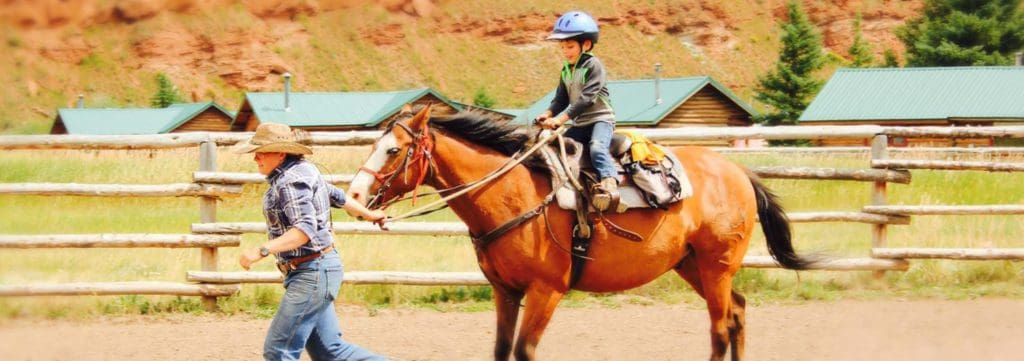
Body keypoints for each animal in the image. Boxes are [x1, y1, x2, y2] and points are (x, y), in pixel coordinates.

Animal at [348, 106, 811, 359]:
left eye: (393, 149)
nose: (353, 196)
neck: (512, 193)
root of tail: (739, 171)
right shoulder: (505, 291)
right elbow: (501, 349)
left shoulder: (546, 290)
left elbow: (524, 350)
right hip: (695, 266)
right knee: (737, 313)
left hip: (716, 267)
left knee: (719, 329)